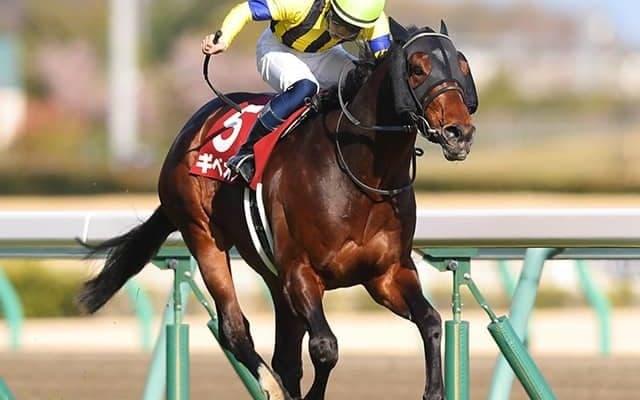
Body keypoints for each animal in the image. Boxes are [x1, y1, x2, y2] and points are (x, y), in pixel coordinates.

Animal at [77, 19, 477, 400]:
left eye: (462, 64)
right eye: (417, 68)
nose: (459, 133)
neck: (360, 174)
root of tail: (192, 127)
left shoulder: (387, 273)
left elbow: (431, 322)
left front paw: (435, 390)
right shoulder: (300, 271)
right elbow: (325, 347)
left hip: (271, 272)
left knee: (284, 354)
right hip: (202, 235)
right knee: (235, 328)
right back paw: (270, 384)